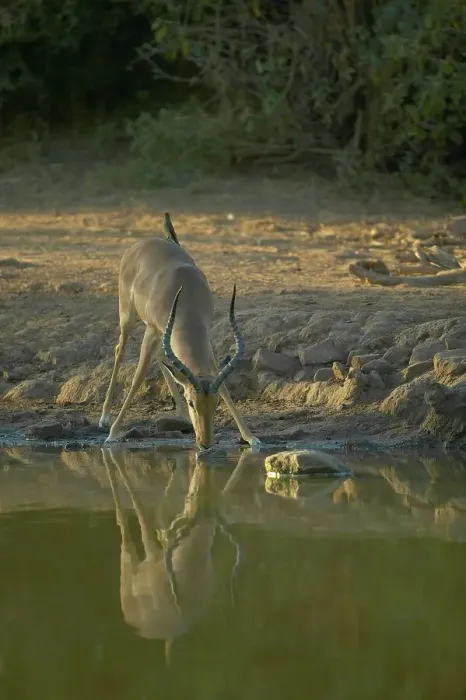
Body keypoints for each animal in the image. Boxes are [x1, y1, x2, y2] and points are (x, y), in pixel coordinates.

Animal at [100, 213, 260, 451]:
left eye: (216, 404)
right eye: (192, 402)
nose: (205, 444)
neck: (186, 296)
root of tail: (141, 244)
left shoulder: (203, 338)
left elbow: (222, 385)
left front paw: (250, 437)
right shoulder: (152, 329)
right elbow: (138, 376)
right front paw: (112, 433)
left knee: (162, 357)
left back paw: (181, 417)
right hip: (127, 315)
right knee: (120, 349)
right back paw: (104, 418)